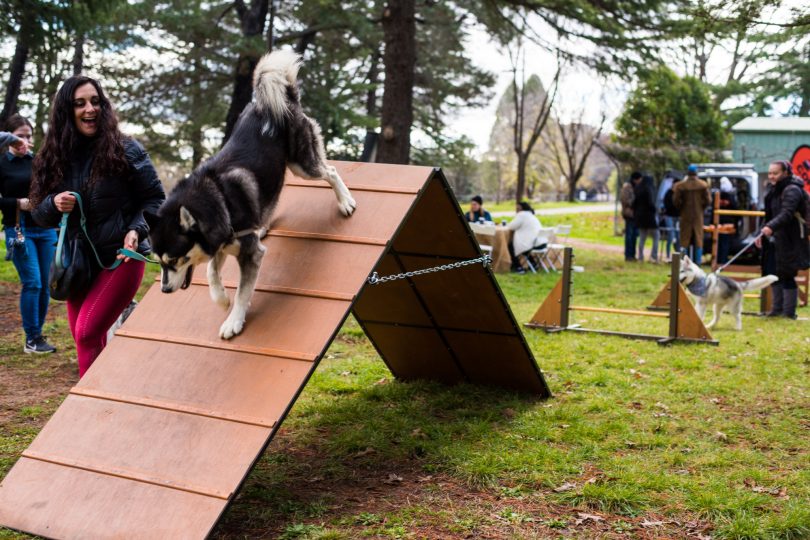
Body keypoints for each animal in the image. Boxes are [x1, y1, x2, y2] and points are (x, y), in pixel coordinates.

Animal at [147, 49, 356, 338]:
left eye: (176, 259)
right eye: (158, 261)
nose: (165, 290)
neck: (217, 201)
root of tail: (281, 99)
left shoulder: (250, 253)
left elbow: (242, 291)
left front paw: (233, 320)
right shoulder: (221, 244)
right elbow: (211, 272)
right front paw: (221, 299)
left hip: (302, 164)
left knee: (331, 171)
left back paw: (345, 201)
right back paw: (264, 225)